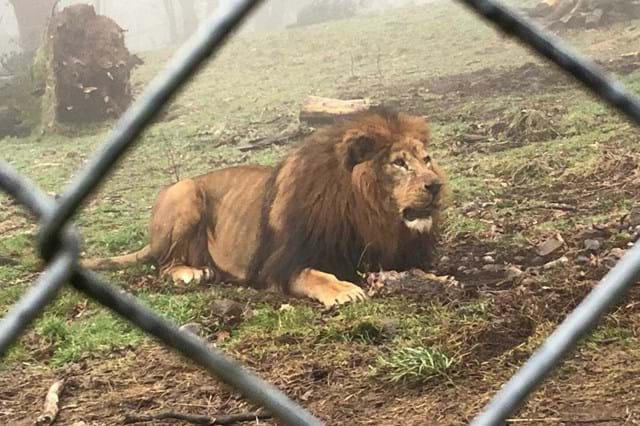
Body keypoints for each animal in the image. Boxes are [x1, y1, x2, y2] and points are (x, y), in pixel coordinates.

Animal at [82, 106, 448, 306]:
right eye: (399, 163)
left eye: (427, 159)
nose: (436, 185)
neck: (369, 215)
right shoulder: (280, 264)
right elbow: (315, 274)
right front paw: (343, 289)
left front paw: (441, 279)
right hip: (185, 191)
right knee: (163, 263)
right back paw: (191, 272)